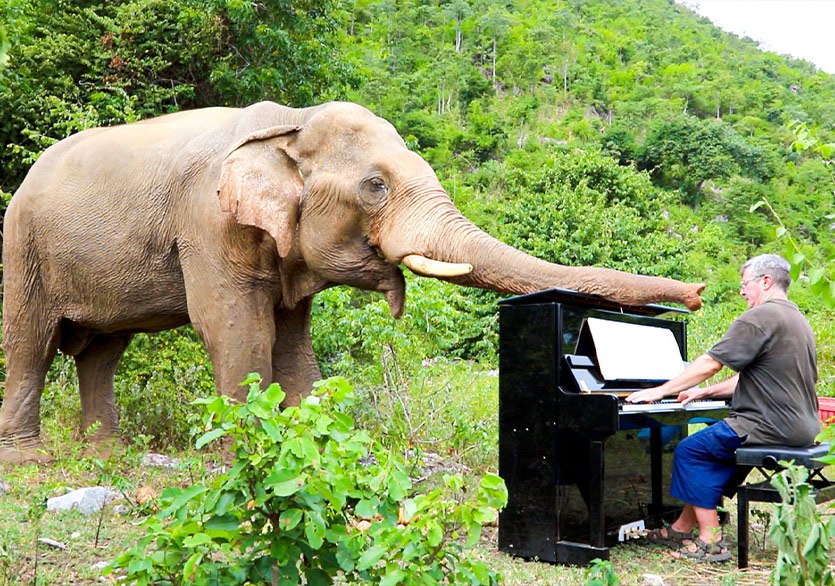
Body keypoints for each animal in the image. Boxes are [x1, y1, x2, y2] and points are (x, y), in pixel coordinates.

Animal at [1, 102, 704, 464]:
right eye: (375, 186)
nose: (695, 293)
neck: (290, 122)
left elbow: (291, 341)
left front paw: (316, 452)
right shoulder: (209, 221)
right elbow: (235, 328)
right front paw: (240, 461)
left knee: (101, 351)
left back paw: (103, 454)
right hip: (23, 243)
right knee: (32, 342)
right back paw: (30, 459)